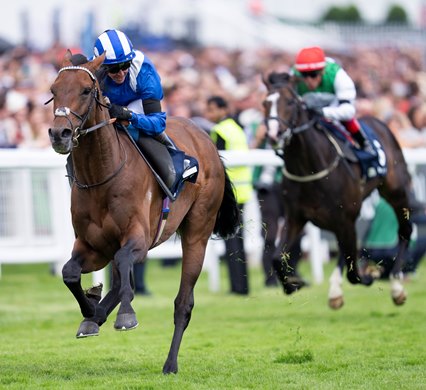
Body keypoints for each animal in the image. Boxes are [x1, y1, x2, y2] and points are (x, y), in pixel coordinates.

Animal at [47, 50, 240, 374]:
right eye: (53, 89)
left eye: (86, 91)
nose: (59, 133)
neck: (103, 175)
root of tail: (206, 139)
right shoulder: (91, 245)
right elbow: (70, 272)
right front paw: (91, 311)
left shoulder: (138, 237)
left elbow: (124, 263)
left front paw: (124, 314)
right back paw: (98, 313)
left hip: (197, 232)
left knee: (183, 303)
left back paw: (170, 363)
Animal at [262, 73, 412, 310]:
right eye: (264, 103)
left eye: (291, 102)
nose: (274, 134)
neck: (309, 167)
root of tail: (381, 123)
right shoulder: (296, 217)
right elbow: (277, 257)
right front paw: (294, 284)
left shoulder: (345, 219)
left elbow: (355, 273)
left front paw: (370, 275)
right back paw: (335, 291)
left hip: (396, 193)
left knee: (405, 231)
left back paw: (397, 287)